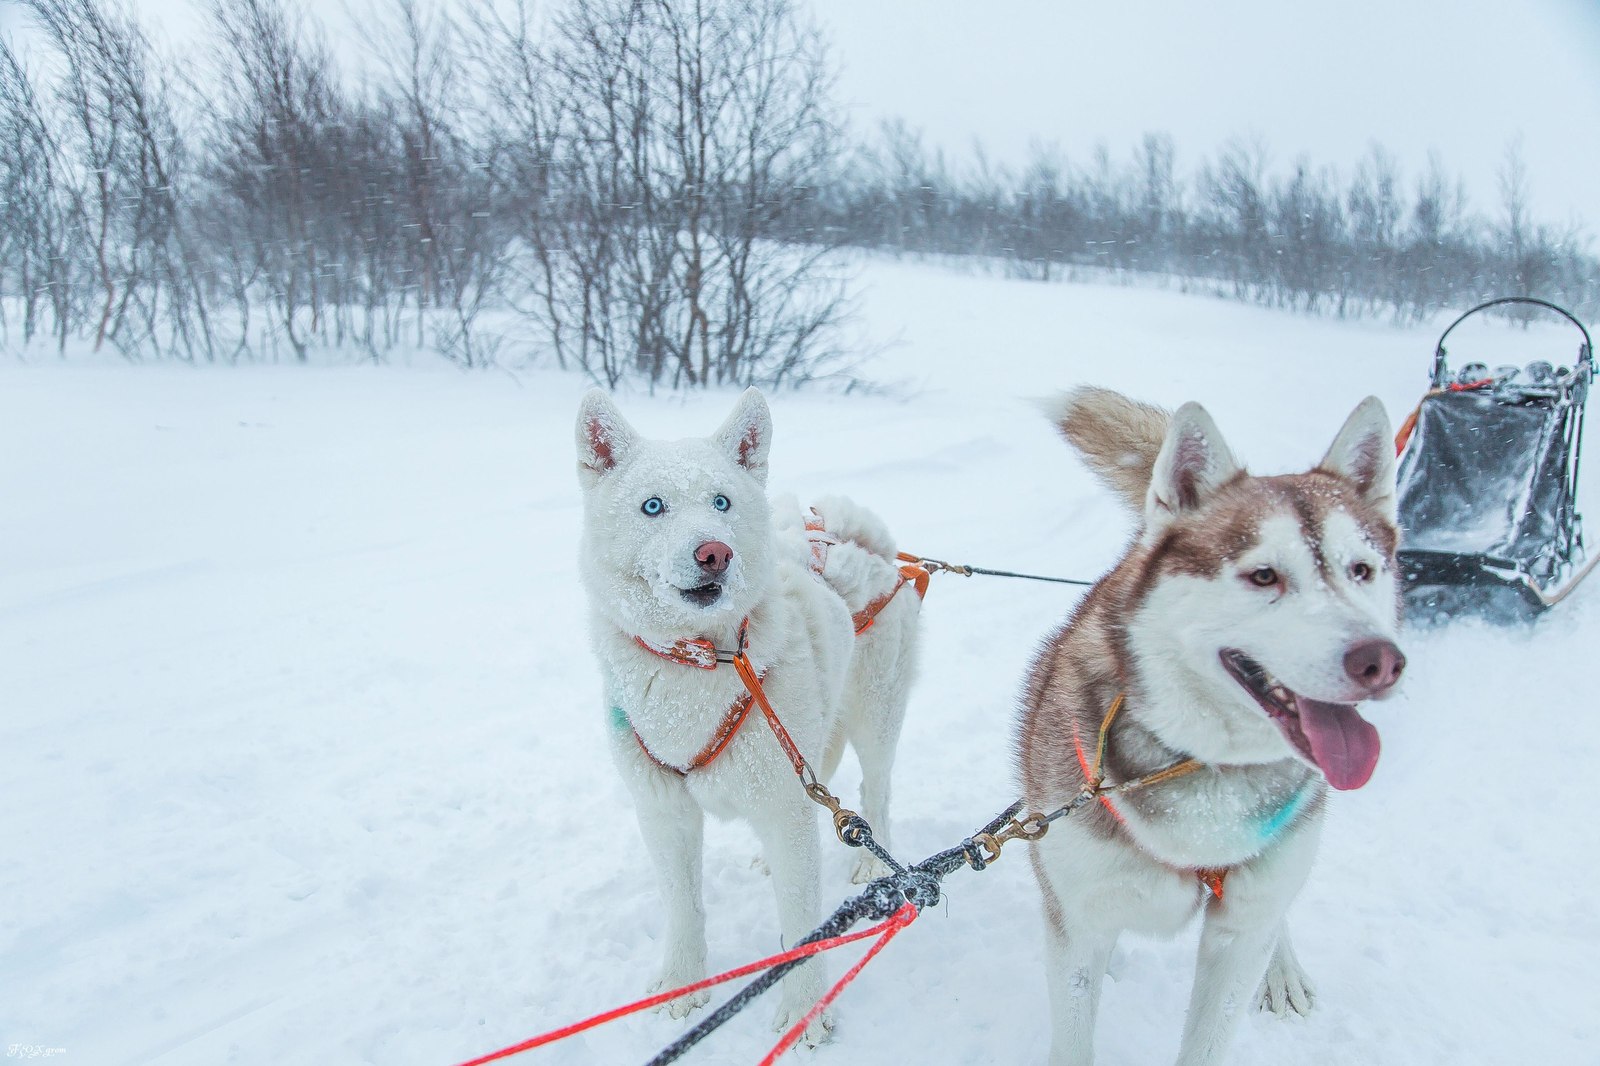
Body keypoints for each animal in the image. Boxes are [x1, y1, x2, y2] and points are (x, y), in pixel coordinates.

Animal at [576, 384, 928, 1037]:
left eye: (722, 501)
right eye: (653, 506)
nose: (714, 552)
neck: (701, 660)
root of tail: (850, 530)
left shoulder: (784, 808)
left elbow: (801, 921)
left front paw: (805, 1013)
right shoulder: (664, 813)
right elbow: (683, 909)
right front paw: (684, 984)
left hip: (873, 718)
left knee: (876, 790)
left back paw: (871, 868)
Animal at [1017, 385, 1408, 1062]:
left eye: (1361, 570)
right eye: (1263, 575)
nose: (1380, 661)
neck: (1205, 764)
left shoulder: (1238, 933)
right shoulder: (1078, 923)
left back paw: (1282, 969)